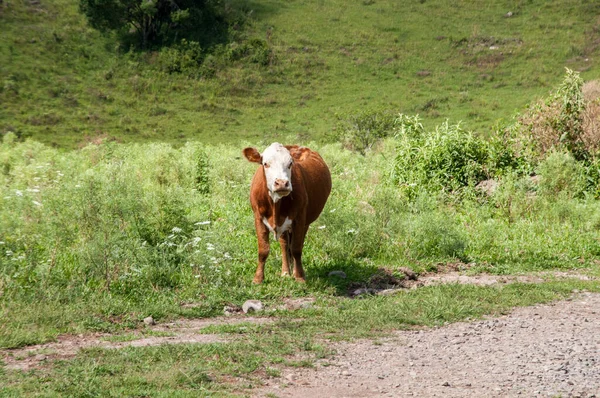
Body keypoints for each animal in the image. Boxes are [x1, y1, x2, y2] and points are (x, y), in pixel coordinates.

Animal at [243, 143, 332, 282]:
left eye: (290, 163)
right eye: (265, 163)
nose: (281, 183)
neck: (276, 203)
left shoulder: (300, 219)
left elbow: (296, 249)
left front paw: (299, 277)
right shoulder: (258, 218)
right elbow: (263, 250)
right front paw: (258, 279)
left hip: (305, 222)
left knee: (296, 244)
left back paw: (294, 271)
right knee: (284, 245)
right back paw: (285, 272)